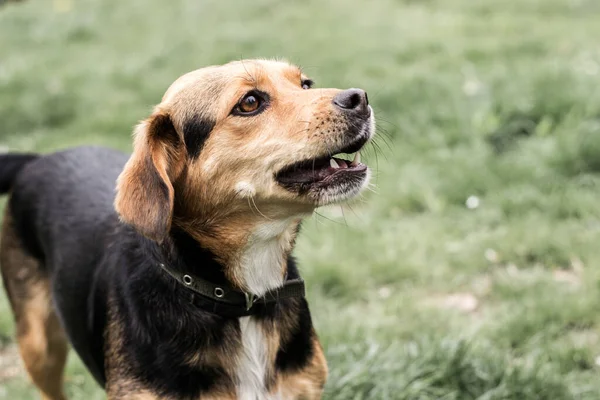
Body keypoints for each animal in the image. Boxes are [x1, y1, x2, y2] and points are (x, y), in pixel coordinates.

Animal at [0, 59, 376, 400]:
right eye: (250, 102)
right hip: (39, 347)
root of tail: (37, 159)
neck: (244, 301)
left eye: (305, 84)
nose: (360, 97)